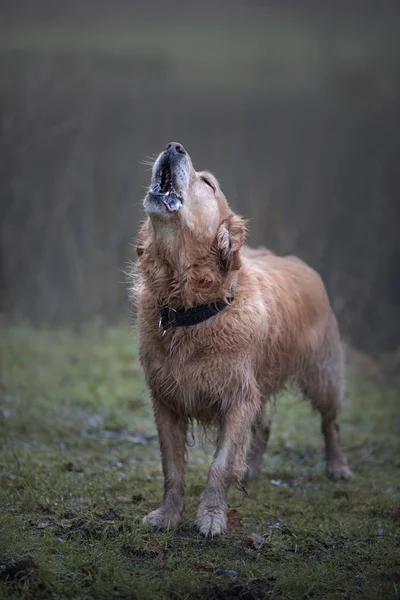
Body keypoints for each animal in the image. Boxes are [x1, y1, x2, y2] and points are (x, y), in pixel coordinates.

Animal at [133, 142, 352, 540]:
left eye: (207, 183)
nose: (174, 146)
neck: (192, 309)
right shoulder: (166, 400)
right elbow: (172, 467)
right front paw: (168, 515)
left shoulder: (237, 399)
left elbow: (220, 465)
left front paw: (211, 517)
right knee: (264, 426)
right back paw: (250, 468)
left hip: (323, 374)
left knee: (331, 422)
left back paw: (338, 466)